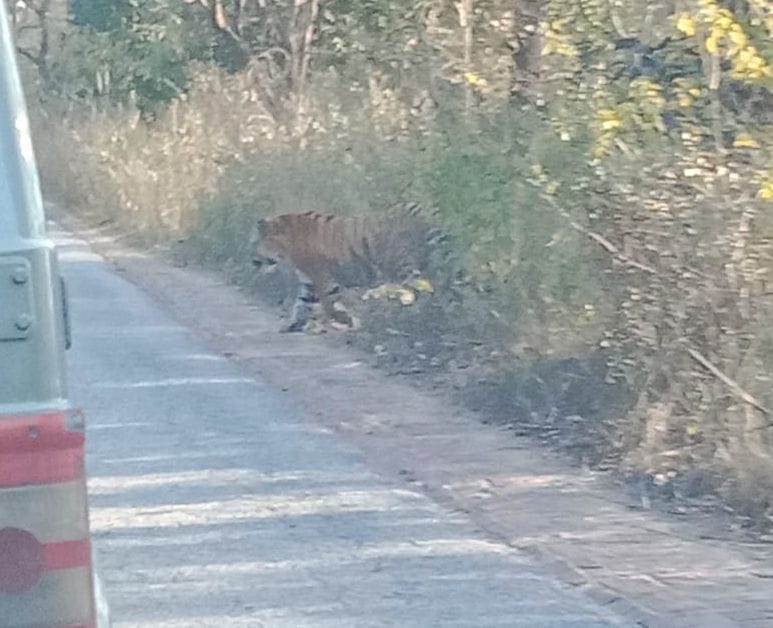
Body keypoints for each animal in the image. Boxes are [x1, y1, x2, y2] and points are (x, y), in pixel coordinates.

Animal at [251, 202, 461, 333]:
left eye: (256, 244)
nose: (253, 261)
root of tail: (423, 211)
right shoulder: (309, 282)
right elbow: (301, 304)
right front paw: (291, 325)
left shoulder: (321, 276)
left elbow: (327, 303)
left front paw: (342, 320)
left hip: (404, 265)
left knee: (419, 288)